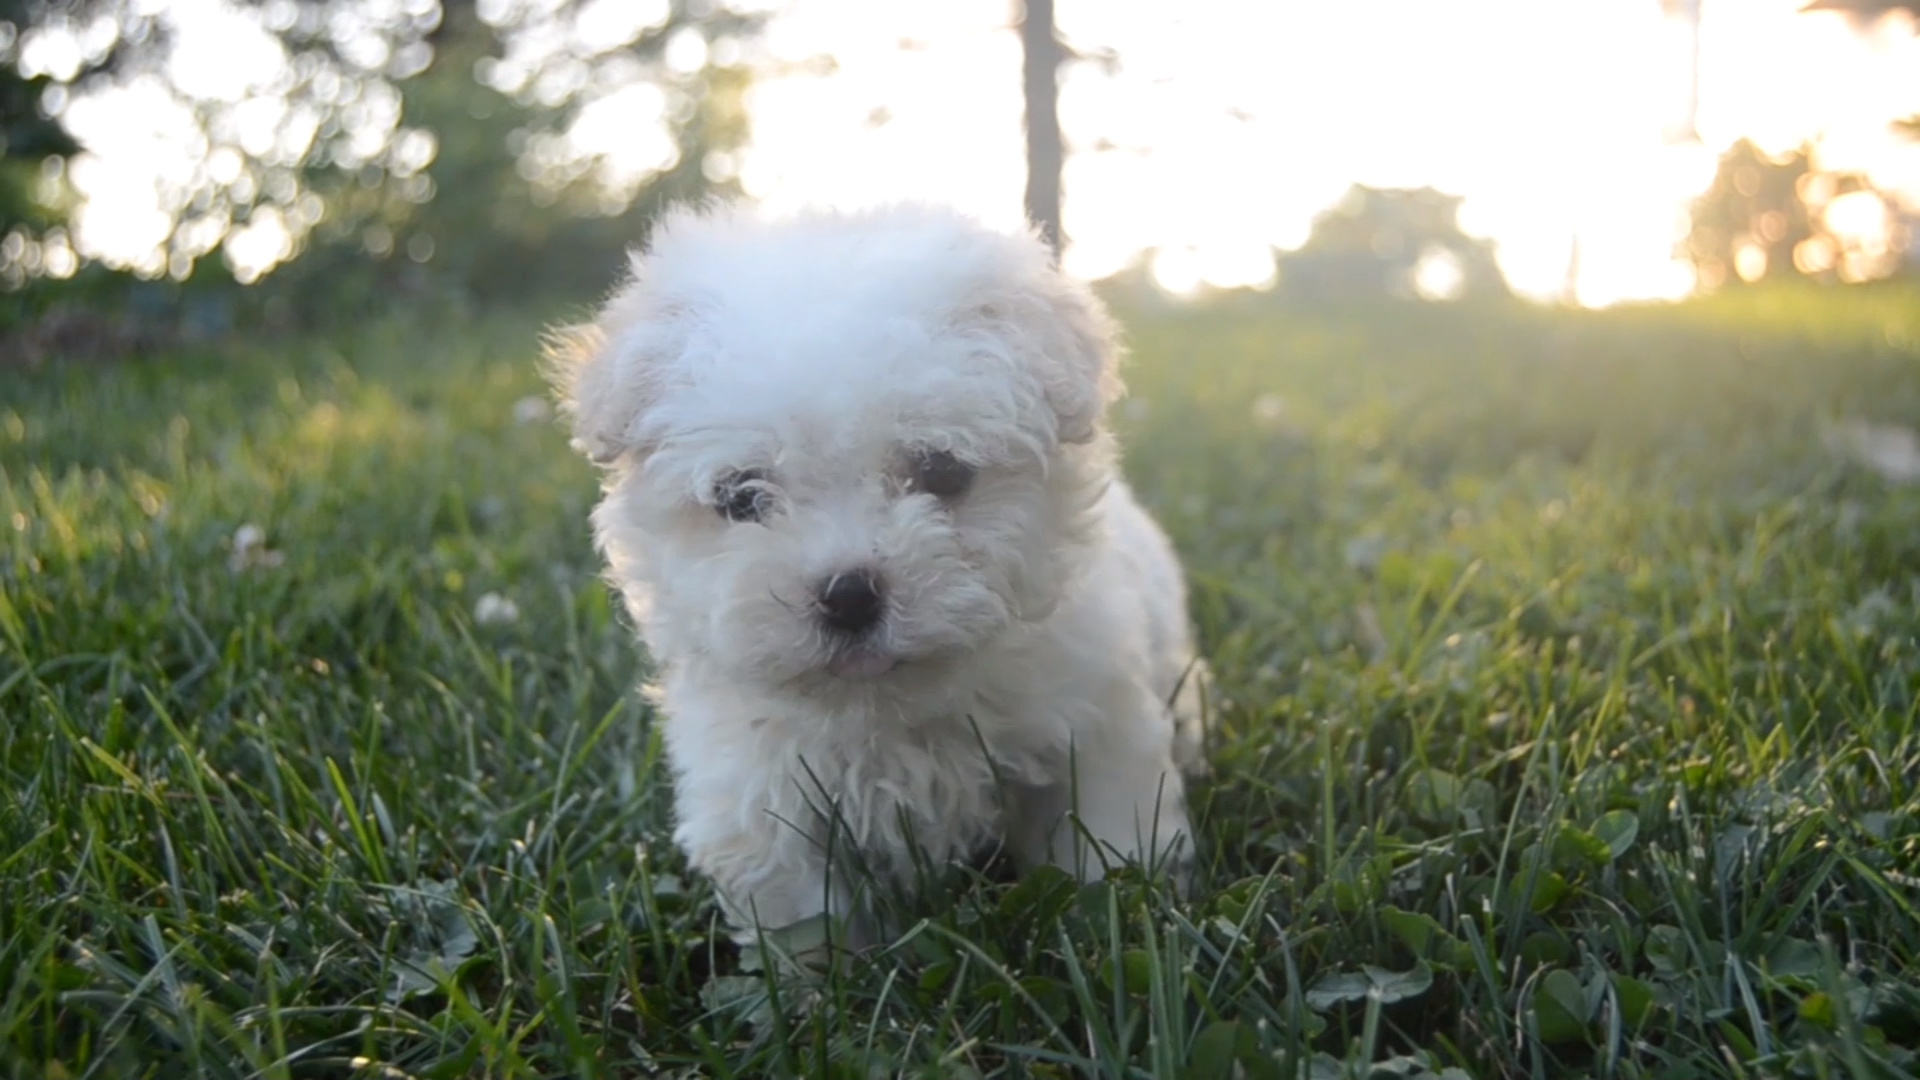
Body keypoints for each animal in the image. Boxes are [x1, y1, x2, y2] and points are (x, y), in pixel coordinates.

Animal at [549, 201, 1198, 941]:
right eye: (741, 497)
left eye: (942, 471)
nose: (850, 596)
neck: (887, 709)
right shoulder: (762, 798)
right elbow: (805, 924)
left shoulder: (1093, 733)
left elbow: (1107, 848)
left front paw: (1117, 920)